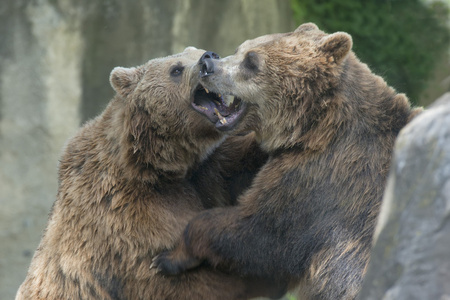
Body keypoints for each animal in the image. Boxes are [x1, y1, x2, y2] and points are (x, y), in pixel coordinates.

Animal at [15, 47, 280, 300]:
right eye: (176, 69)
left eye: (198, 50)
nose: (208, 57)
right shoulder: (126, 211)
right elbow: (165, 276)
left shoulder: (206, 170)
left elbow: (238, 171)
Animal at [153, 24, 424, 300]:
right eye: (240, 48)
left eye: (252, 62)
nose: (208, 64)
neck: (314, 129)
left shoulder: (320, 182)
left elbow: (260, 234)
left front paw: (169, 257)